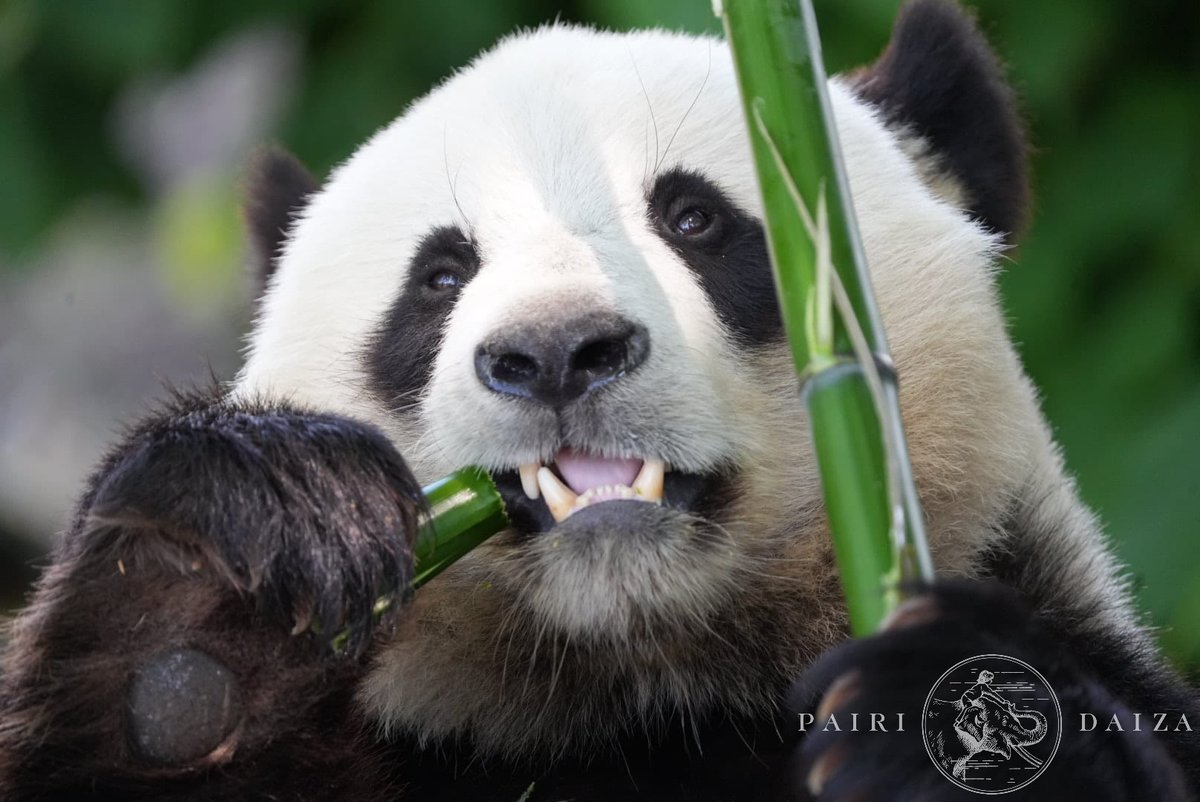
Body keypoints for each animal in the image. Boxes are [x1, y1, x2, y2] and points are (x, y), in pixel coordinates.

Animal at [1, 0, 1197, 799]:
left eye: (694, 219)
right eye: (441, 277)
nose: (556, 353)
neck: (651, 687)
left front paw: (939, 705)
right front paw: (220, 602)